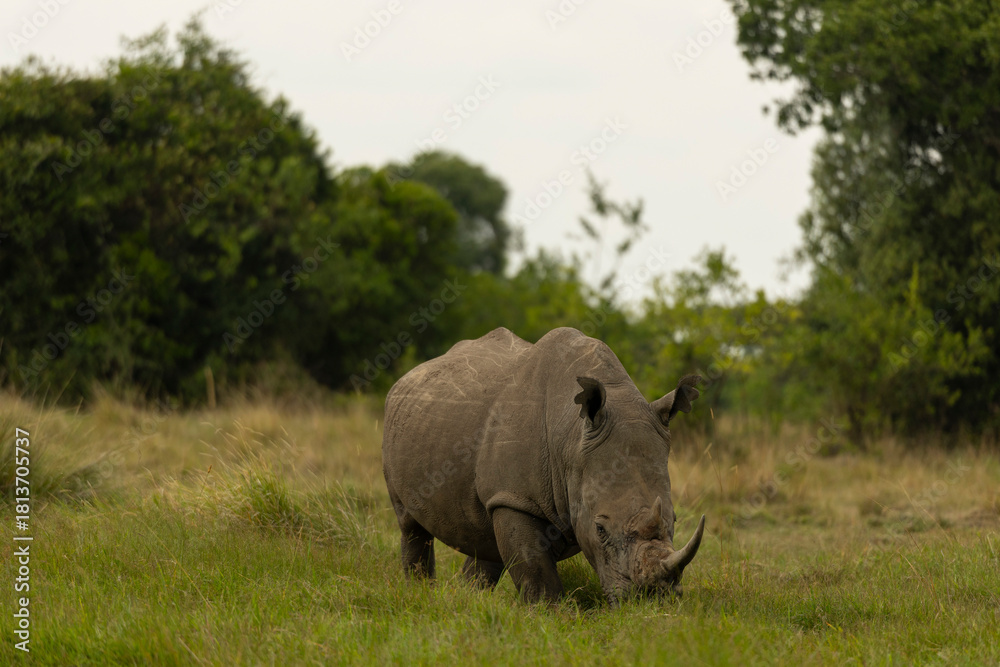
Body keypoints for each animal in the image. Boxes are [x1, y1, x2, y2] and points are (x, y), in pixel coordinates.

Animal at [382, 326, 705, 603]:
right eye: (600, 529)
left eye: (675, 520)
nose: (651, 599)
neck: (571, 440)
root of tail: (409, 376)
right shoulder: (516, 498)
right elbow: (533, 567)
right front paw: (550, 613)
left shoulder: (512, 493)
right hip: (396, 422)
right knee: (410, 525)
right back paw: (420, 592)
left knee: (486, 536)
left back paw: (469, 599)